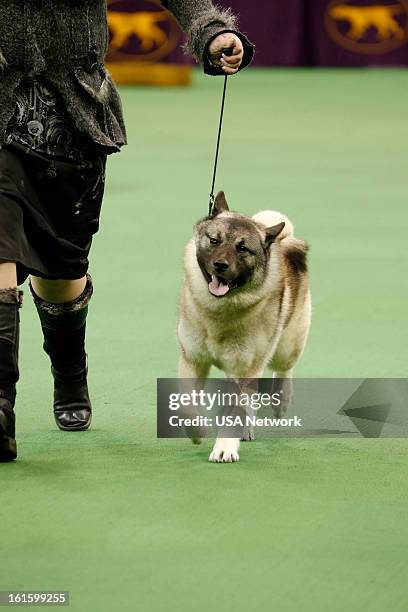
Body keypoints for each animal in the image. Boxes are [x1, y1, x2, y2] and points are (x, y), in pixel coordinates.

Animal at [177, 192, 310, 464]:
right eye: (214, 240)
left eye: (242, 248)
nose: (220, 265)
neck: (220, 311)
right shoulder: (192, 360)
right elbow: (186, 403)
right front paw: (196, 431)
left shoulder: (244, 367)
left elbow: (234, 412)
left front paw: (224, 448)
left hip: (285, 347)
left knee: (284, 370)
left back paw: (281, 399)